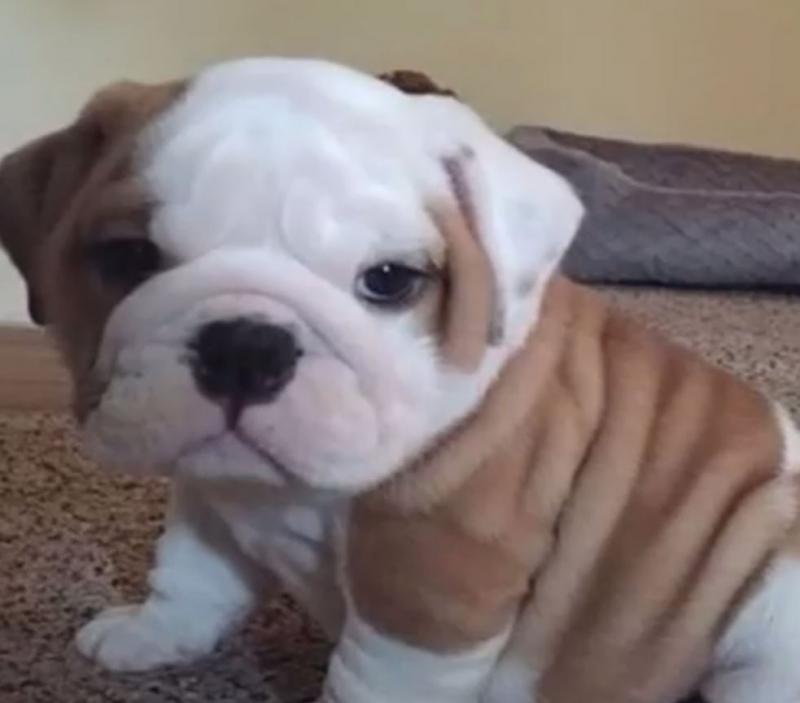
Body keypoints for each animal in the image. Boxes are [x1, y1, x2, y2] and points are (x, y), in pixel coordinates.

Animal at [1, 58, 799, 703]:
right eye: (129, 257)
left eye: (388, 280)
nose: (246, 345)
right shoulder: (209, 488)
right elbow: (191, 571)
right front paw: (151, 632)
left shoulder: (432, 582)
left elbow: (373, 677)